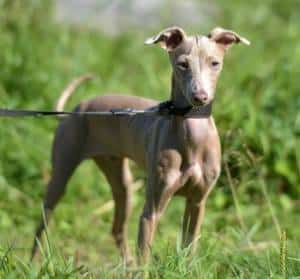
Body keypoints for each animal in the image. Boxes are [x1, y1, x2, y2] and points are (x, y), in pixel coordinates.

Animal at [31, 26, 250, 264]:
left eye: (215, 63)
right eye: (182, 64)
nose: (199, 97)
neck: (193, 137)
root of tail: (76, 110)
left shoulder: (197, 202)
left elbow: (189, 247)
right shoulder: (151, 210)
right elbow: (145, 256)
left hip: (122, 183)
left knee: (117, 228)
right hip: (61, 174)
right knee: (42, 224)